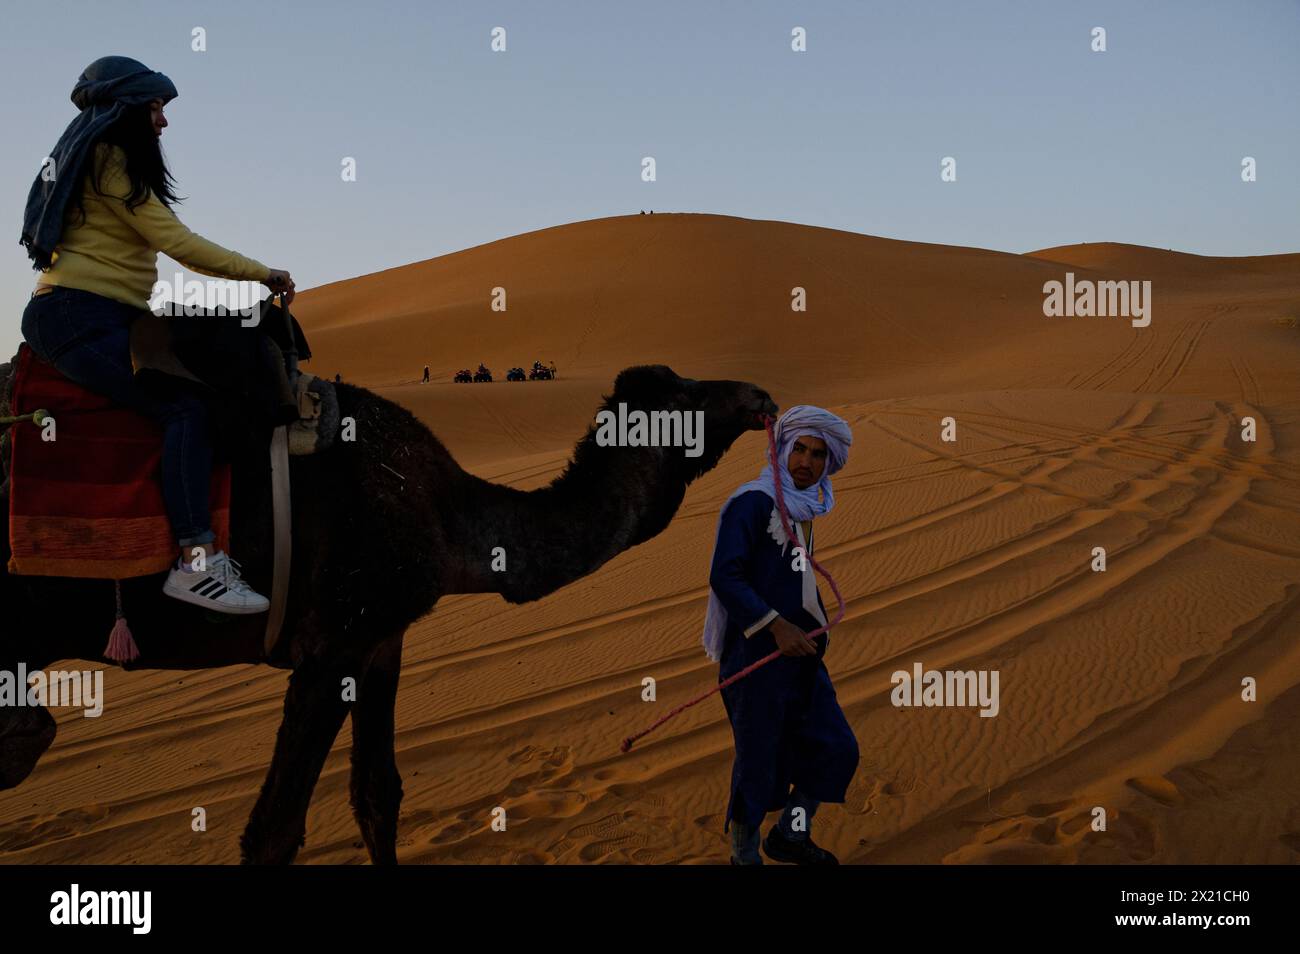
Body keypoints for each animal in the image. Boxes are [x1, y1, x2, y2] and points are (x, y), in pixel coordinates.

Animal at [0, 358, 769, 868]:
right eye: (688, 395)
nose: (758, 392)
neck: (446, 513)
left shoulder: (381, 639)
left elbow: (378, 794)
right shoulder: (331, 645)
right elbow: (274, 831)